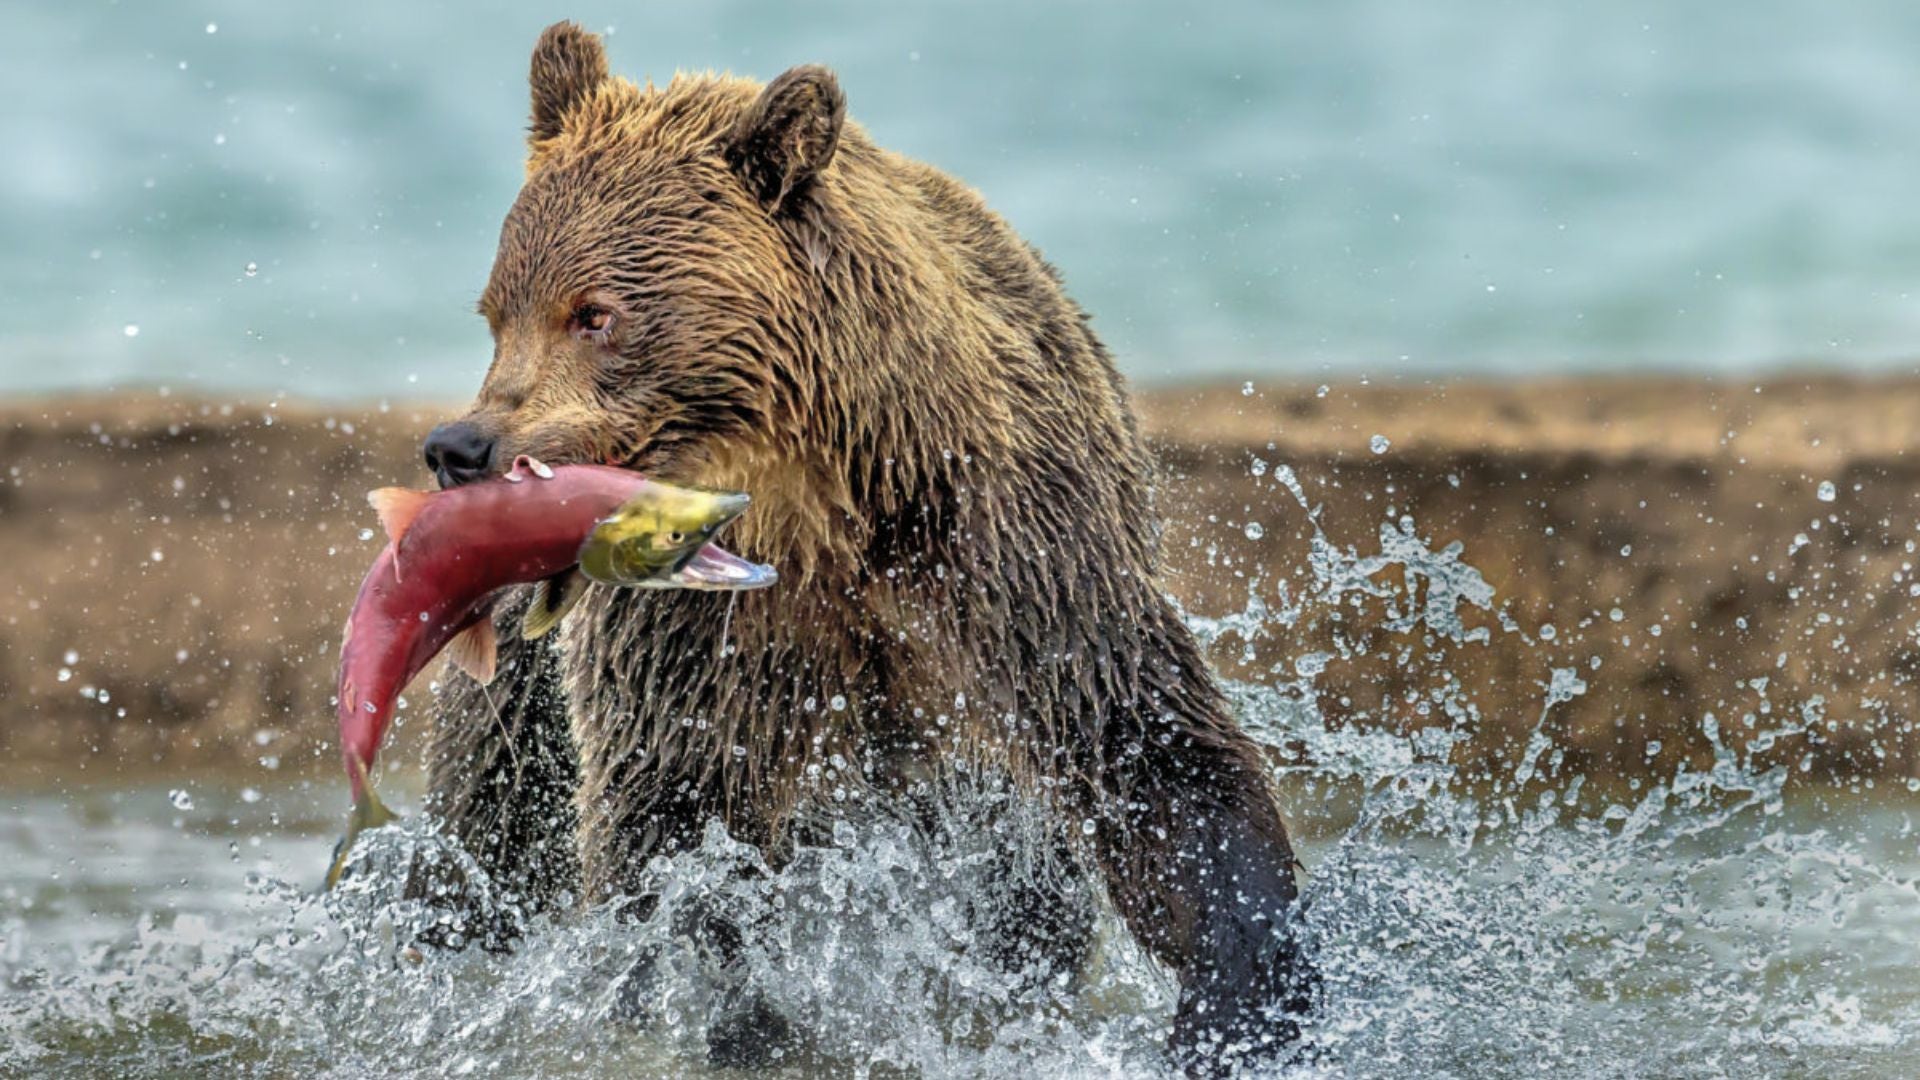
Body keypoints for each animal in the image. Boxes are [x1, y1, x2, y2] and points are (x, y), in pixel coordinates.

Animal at [418, 18, 1313, 1068]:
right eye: (496, 312)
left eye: (594, 312)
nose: (461, 449)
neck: (822, 499)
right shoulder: (698, 635)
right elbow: (676, 822)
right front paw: (736, 1013)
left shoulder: (1013, 558)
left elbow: (1146, 748)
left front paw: (1241, 997)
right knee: (489, 823)